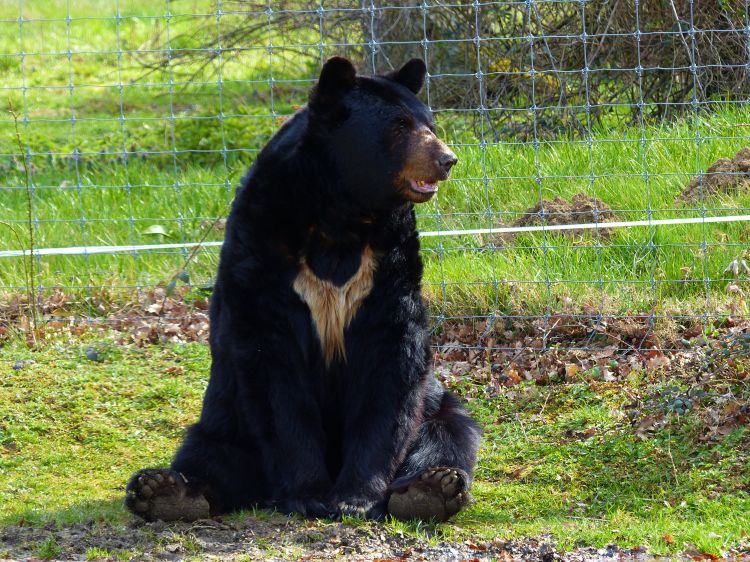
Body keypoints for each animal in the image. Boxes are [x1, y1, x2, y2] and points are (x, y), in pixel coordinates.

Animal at [125, 57, 482, 520]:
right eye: (400, 126)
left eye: (429, 123)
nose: (446, 159)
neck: (341, 213)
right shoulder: (264, 250)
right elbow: (274, 372)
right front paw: (310, 494)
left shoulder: (388, 262)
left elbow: (391, 360)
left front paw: (355, 497)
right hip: (227, 417)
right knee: (208, 454)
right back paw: (165, 491)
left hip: (436, 405)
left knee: (448, 435)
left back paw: (430, 489)